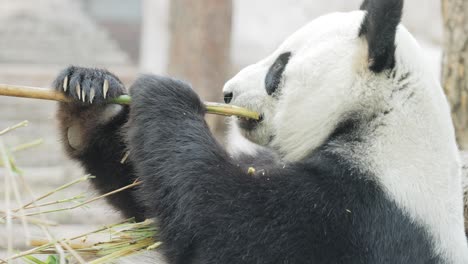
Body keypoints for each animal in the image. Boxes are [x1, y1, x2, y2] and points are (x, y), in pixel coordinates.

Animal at [52, 0, 468, 262]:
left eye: (278, 68)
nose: (227, 93)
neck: (380, 119)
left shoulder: (366, 215)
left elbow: (225, 227)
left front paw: (165, 92)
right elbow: (144, 194)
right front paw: (91, 96)